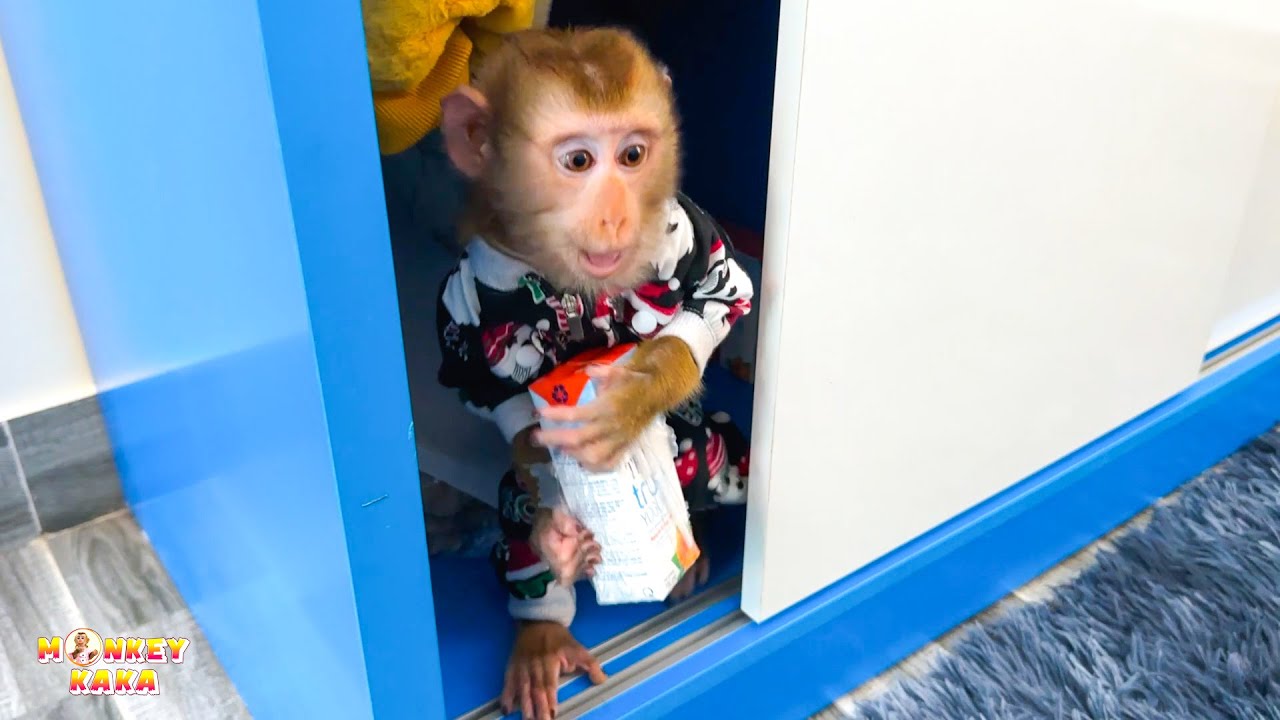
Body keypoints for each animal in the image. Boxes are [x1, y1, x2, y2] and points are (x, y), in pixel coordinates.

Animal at [435, 27, 754, 720]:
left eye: (633, 154)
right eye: (579, 161)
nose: (615, 218)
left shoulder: (677, 228)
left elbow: (721, 294)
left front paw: (632, 400)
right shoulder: (467, 285)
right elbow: (483, 388)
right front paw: (557, 521)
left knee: (706, 444)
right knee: (515, 499)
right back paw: (543, 622)